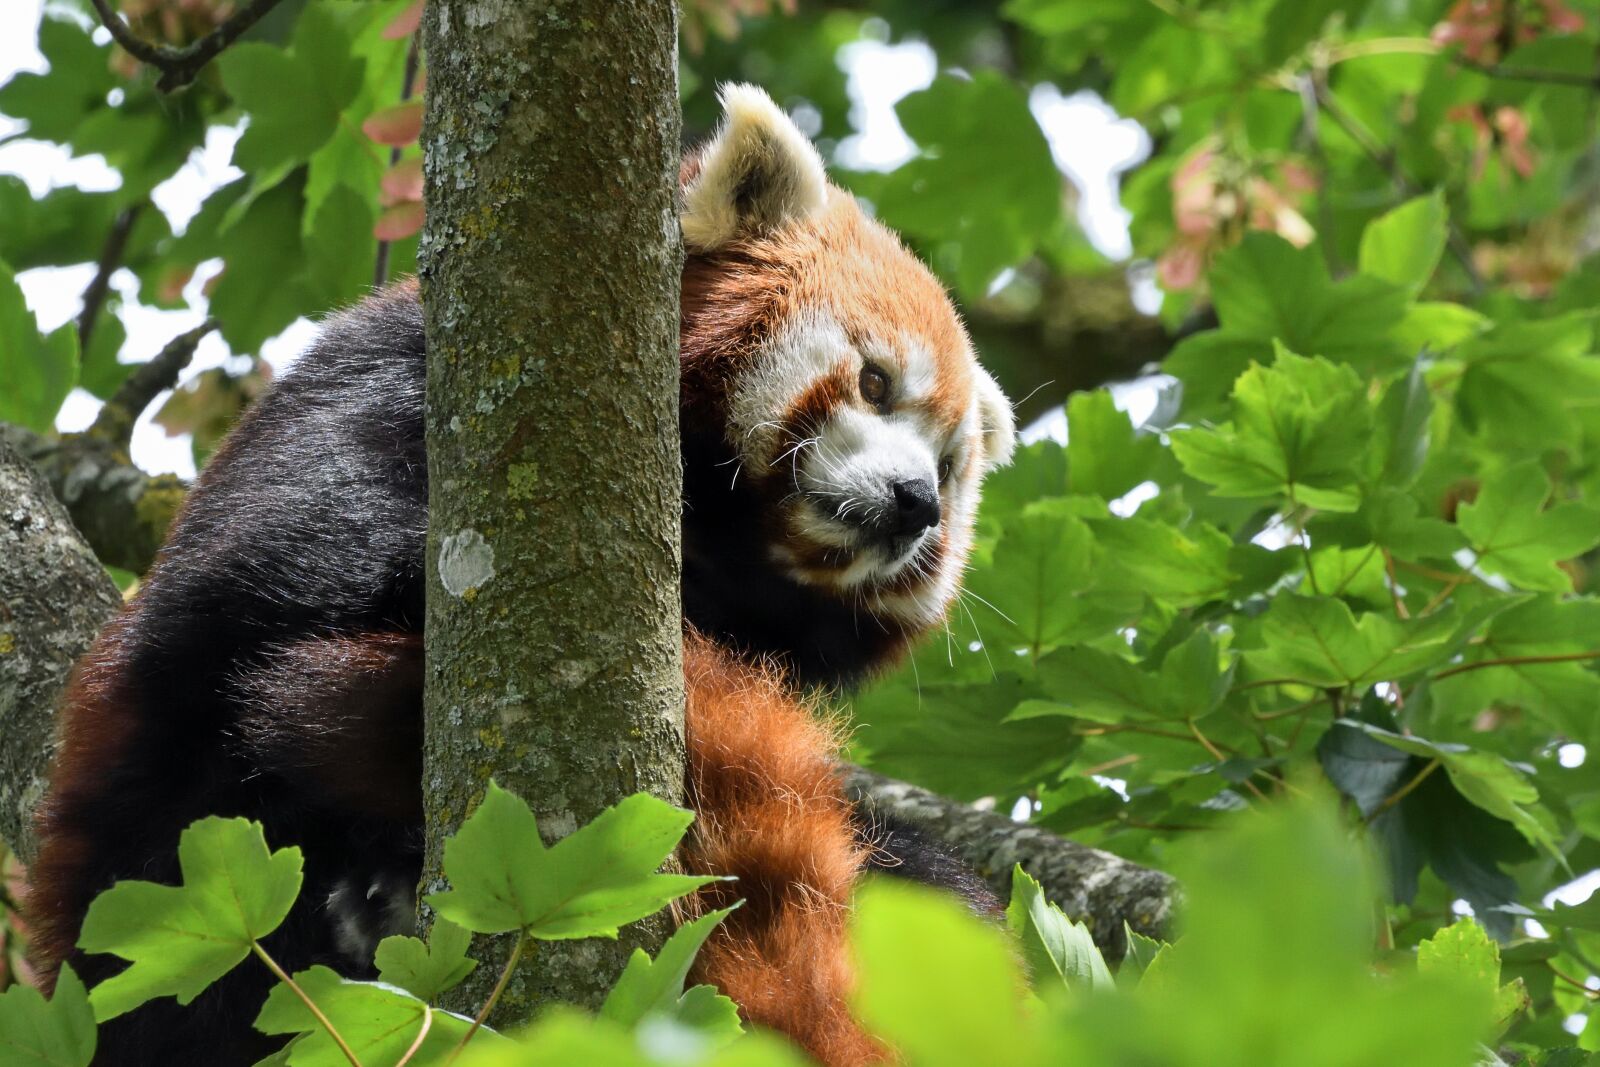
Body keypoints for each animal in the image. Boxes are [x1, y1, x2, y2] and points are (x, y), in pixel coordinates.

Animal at [25, 85, 1016, 1065]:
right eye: (876, 382)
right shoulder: (379, 387)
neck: (715, 530)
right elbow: (283, 564)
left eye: (950, 467)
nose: (916, 503)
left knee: (912, 867)